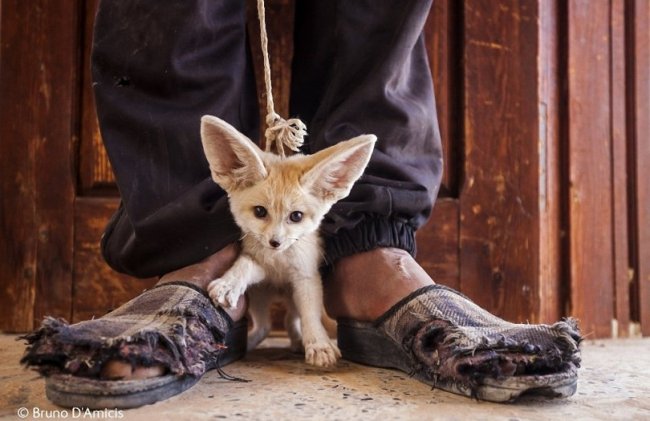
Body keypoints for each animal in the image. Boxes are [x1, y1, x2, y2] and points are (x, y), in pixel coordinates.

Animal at [200, 114, 378, 364]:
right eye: (260, 212)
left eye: (296, 216)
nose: (275, 243)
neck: (279, 264)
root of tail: (279, 293)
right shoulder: (260, 265)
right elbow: (244, 265)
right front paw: (229, 283)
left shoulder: (306, 278)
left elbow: (310, 316)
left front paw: (319, 344)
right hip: (259, 297)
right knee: (265, 326)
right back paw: (250, 343)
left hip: (292, 299)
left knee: (289, 321)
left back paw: (297, 342)